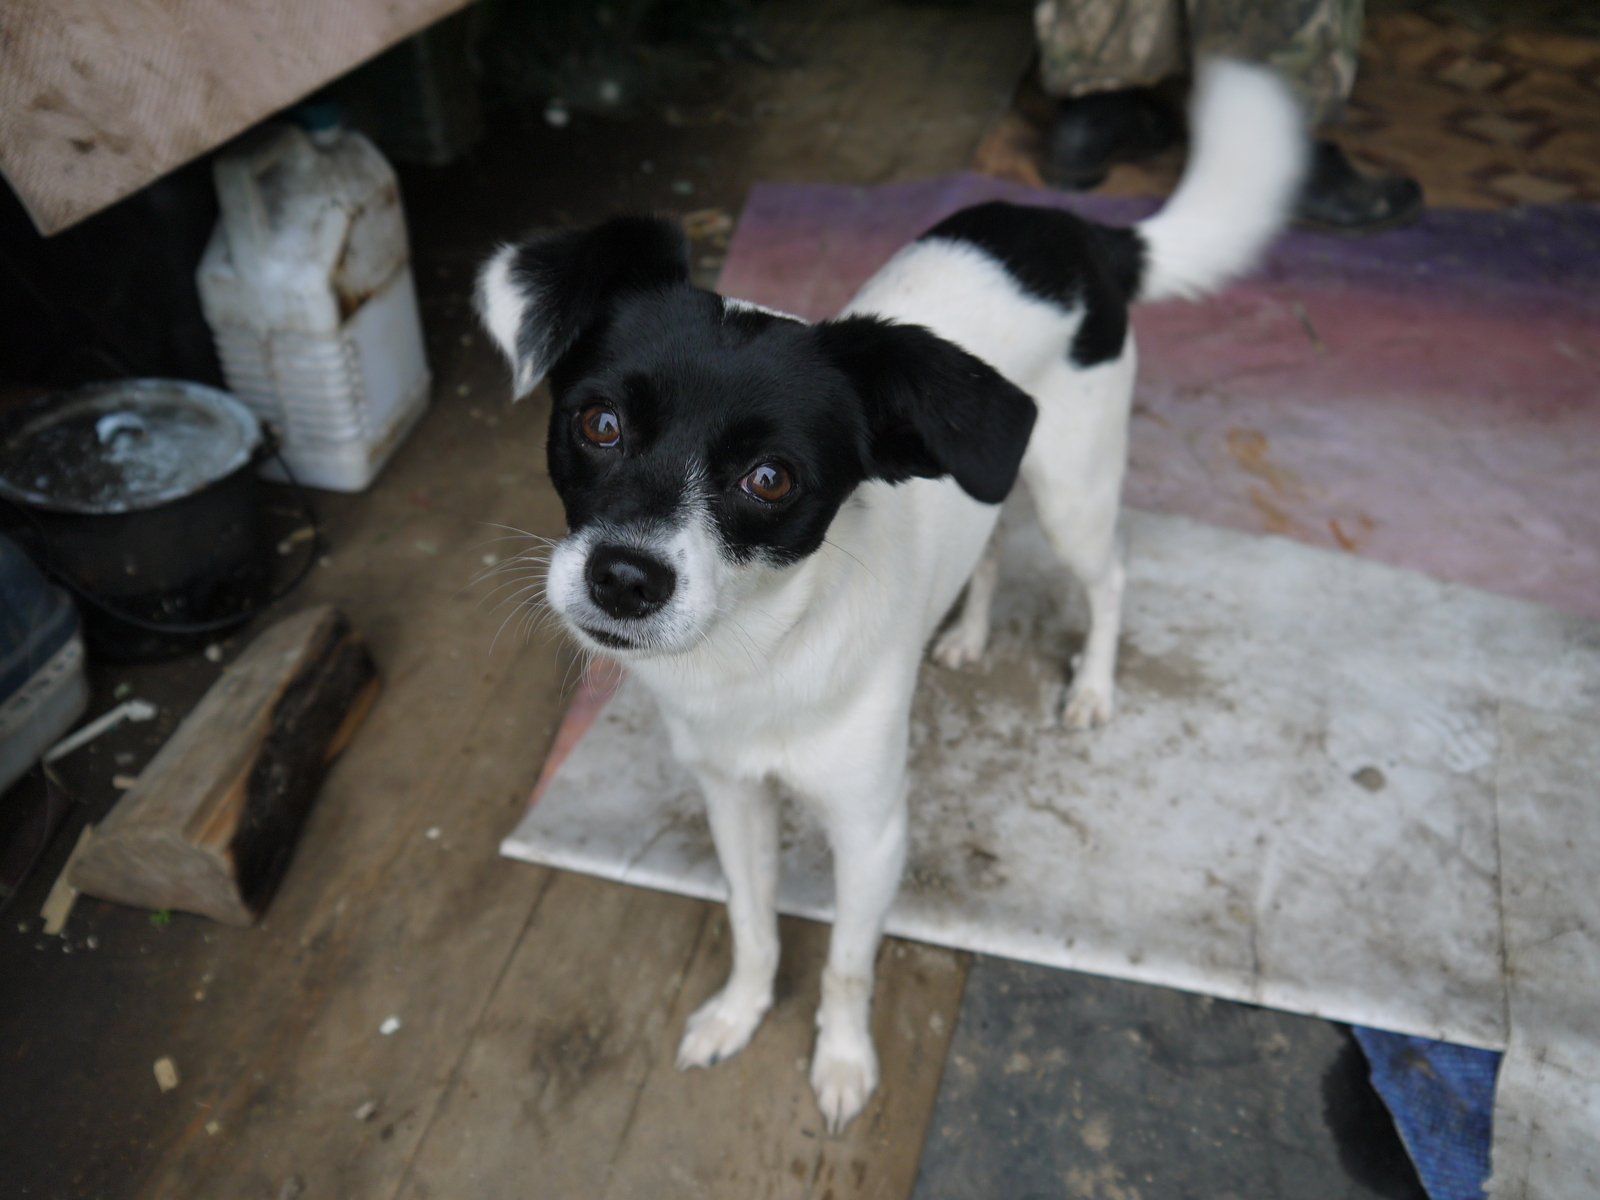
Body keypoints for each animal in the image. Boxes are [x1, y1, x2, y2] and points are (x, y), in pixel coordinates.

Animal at [470, 61, 1299, 1132]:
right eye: (598, 422)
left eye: (772, 478)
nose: (624, 577)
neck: (760, 650)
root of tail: (1081, 231)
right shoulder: (732, 797)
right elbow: (753, 924)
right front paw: (738, 1014)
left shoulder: (871, 832)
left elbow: (848, 967)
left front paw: (842, 1064)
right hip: (998, 481)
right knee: (989, 550)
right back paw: (969, 636)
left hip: (1075, 490)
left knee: (1109, 575)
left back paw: (1093, 689)